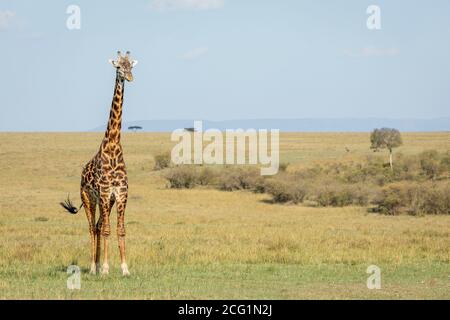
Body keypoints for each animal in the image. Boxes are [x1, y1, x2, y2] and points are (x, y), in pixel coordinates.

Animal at [60, 50, 137, 276]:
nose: (129, 77)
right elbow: (107, 230)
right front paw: (104, 268)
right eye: (118, 67)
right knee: (91, 227)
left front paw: (124, 268)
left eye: (131, 66)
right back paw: (93, 267)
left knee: (97, 225)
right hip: (88, 198)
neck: (113, 146)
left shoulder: (120, 194)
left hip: (107, 202)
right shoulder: (103, 193)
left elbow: (120, 229)